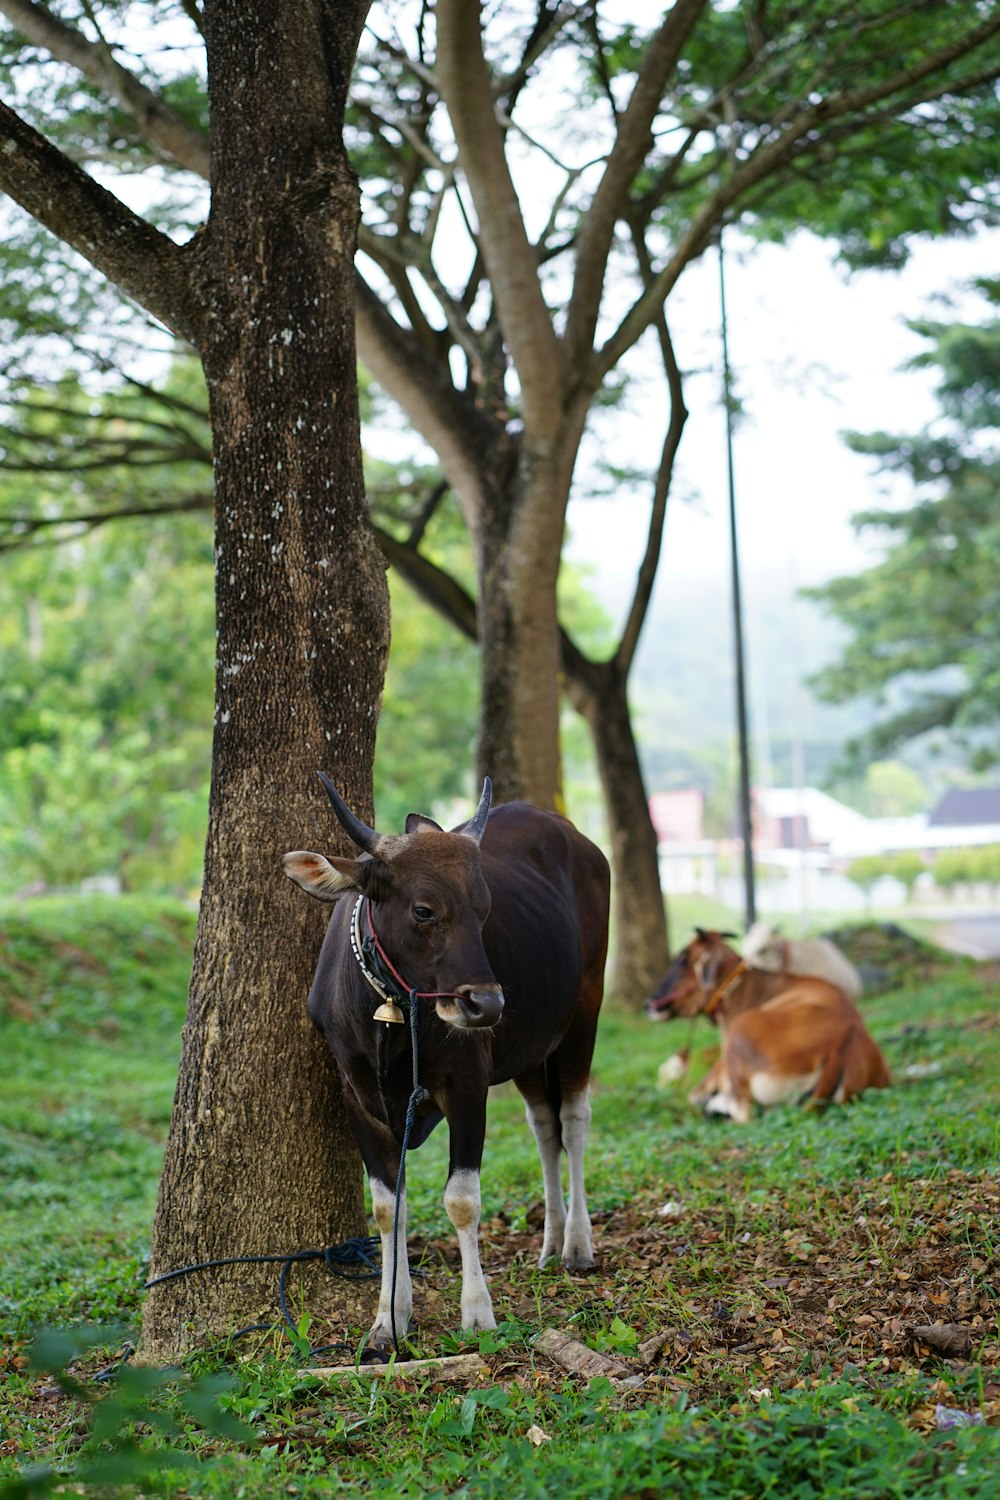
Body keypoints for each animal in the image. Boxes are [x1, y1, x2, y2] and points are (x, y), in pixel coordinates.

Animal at [281, 780, 611, 1356]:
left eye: (484, 909)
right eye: (423, 910)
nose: (487, 1004)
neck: (393, 1021)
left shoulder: (467, 1086)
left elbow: (461, 1201)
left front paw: (477, 1313)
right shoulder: (357, 1096)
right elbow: (388, 1207)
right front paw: (389, 1318)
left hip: (584, 1014)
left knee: (573, 1120)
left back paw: (576, 1243)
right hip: (530, 1048)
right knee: (544, 1126)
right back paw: (550, 1241)